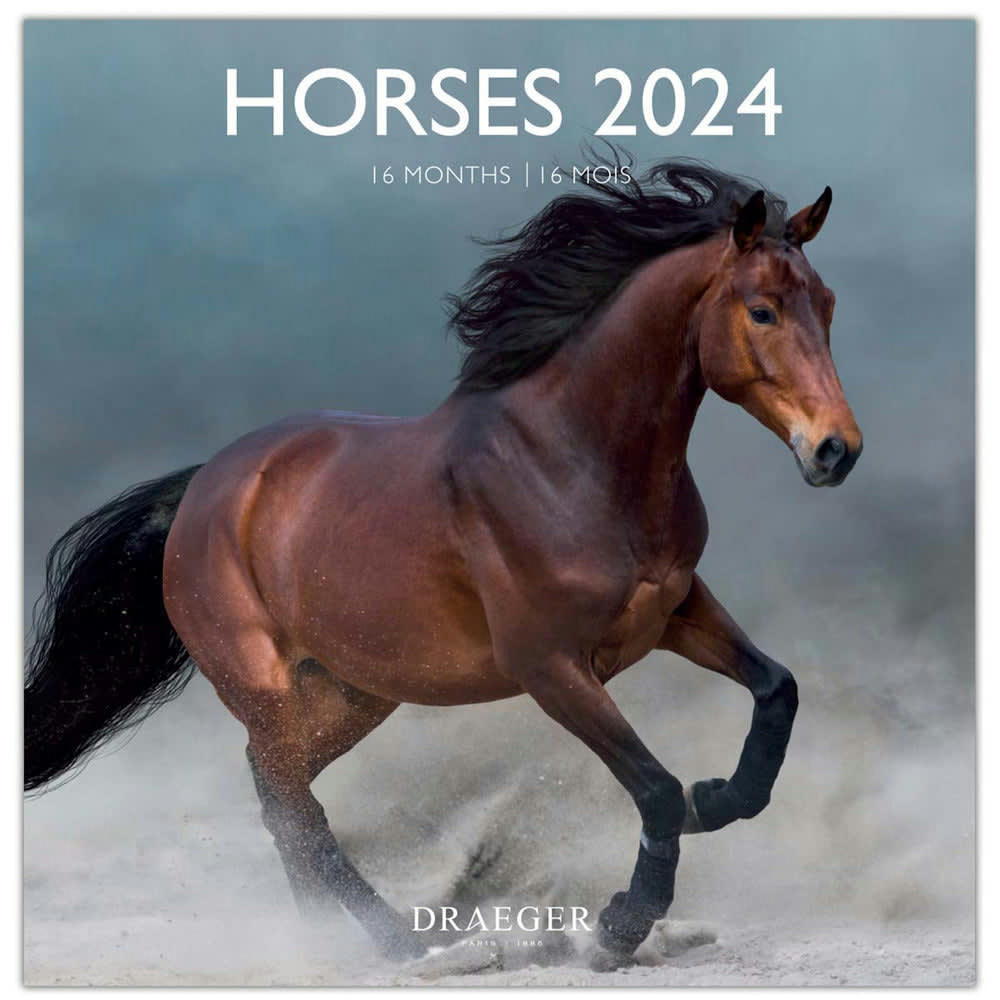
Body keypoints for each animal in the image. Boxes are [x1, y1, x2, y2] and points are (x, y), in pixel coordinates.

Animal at [24, 159, 862, 965]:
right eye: (762, 310)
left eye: (826, 304)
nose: (836, 451)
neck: (572, 461)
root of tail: (203, 488)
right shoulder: (550, 665)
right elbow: (655, 789)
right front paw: (620, 926)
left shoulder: (675, 611)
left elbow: (776, 690)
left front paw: (718, 797)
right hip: (262, 686)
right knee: (292, 805)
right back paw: (395, 943)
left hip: (353, 691)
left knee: (279, 793)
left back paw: (346, 938)